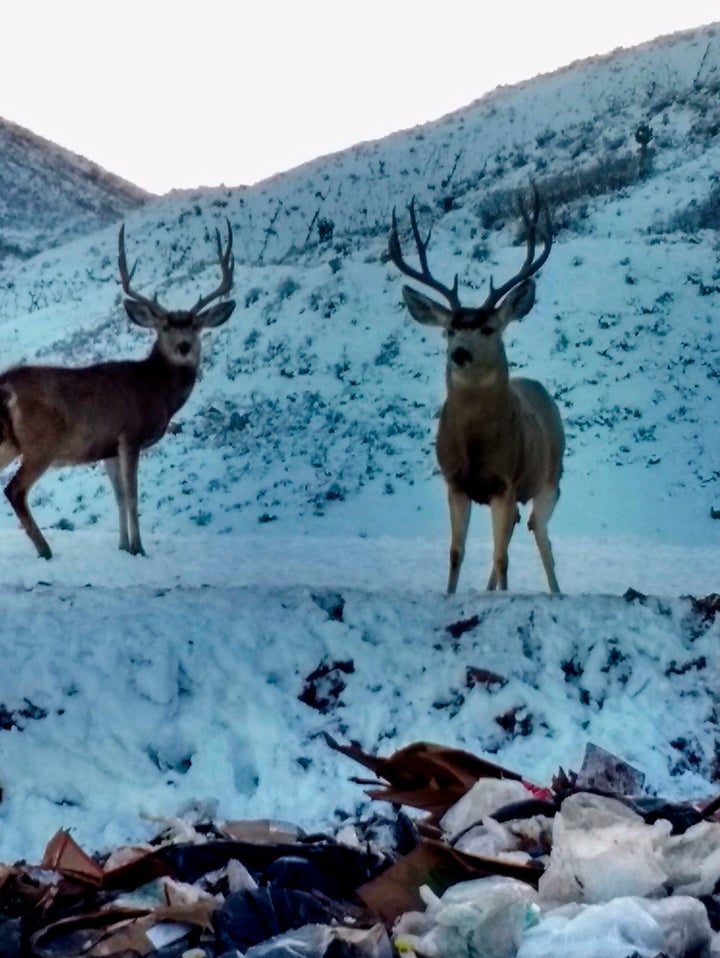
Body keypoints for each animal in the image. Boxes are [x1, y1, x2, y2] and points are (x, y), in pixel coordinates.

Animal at [0, 222, 236, 559]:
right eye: (164, 327)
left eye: (195, 326)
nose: (184, 346)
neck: (157, 389)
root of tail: (5, 384)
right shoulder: (130, 435)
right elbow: (133, 495)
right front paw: (139, 548)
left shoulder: (108, 447)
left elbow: (119, 497)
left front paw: (123, 546)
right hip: (40, 443)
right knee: (15, 490)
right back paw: (45, 549)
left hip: (8, 442)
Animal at [388, 187, 564, 594]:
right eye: (449, 329)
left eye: (487, 329)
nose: (460, 353)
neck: (476, 448)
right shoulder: (455, 482)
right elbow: (456, 553)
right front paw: (452, 595)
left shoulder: (505, 482)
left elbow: (501, 557)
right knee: (517, 529)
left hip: (551, 477)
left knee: (538, 531)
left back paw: (555, 591)